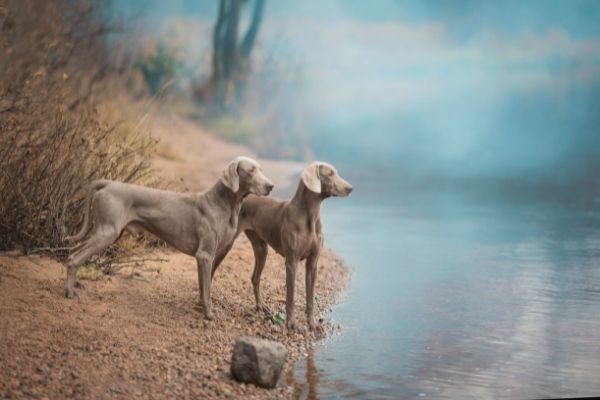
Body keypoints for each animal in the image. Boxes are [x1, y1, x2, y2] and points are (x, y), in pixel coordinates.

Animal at [65, 155, 272, 318]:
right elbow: (207, 290)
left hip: (106, 231)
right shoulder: (205, 255)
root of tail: (108, 183)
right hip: (108, 232)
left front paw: (200, 306)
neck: (224, 203)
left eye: (261, 169)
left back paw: (76, 284)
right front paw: (209, 314)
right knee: (75, 258)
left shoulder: (203, 258)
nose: (271, 186)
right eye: (251, 170)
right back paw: (69, 292)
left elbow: (202, 286)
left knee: (74, 251)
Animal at [212, 161, 352, 330]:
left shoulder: (313, 263)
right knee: (211, 269)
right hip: (227, 245)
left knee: (255, 278)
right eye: (330, 174)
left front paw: (312, 323)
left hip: (261, 249)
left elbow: (310, 297)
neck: (310, 216)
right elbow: (290, 296)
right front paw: (292, 324)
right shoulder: (291, 262)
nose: (351, 188)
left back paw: (261, 306)